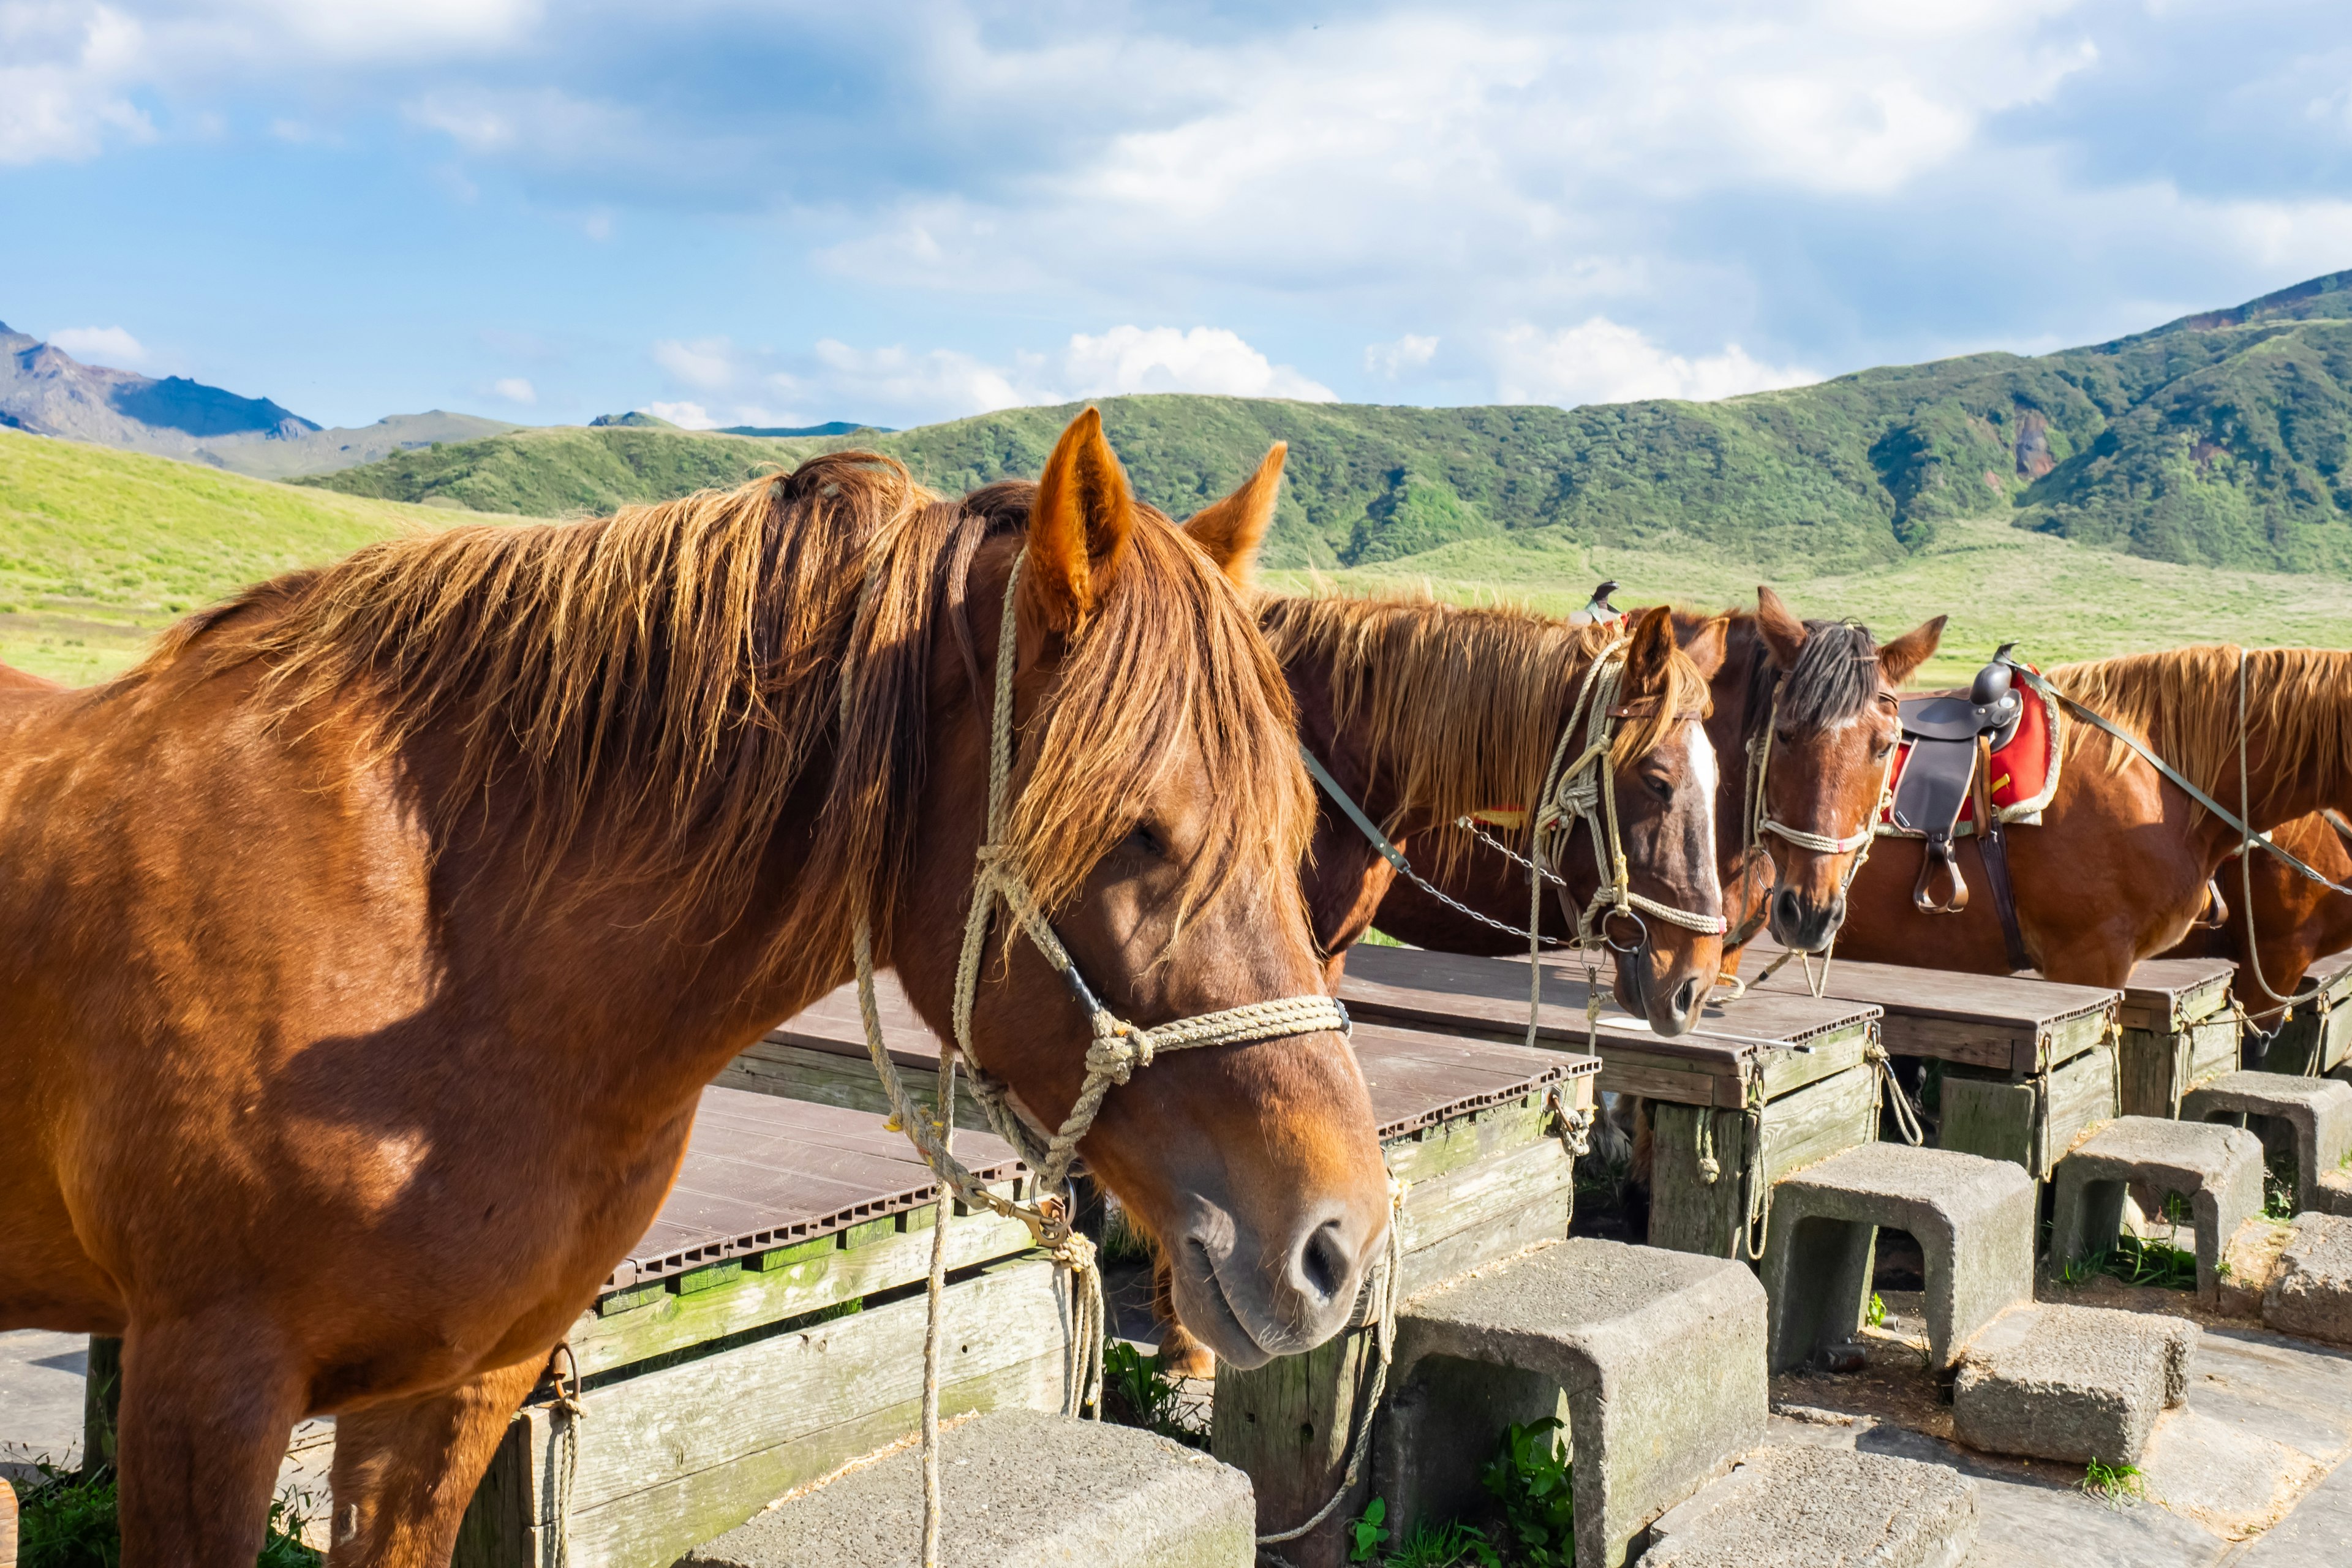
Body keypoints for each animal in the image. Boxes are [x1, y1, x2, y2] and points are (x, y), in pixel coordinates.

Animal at [4, 413, 1392, 1568]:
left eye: (1295, 825)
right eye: (1138, 830)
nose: (1339, 1241)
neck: (421, 945)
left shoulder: (455, 1390)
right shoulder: (205, 1393)